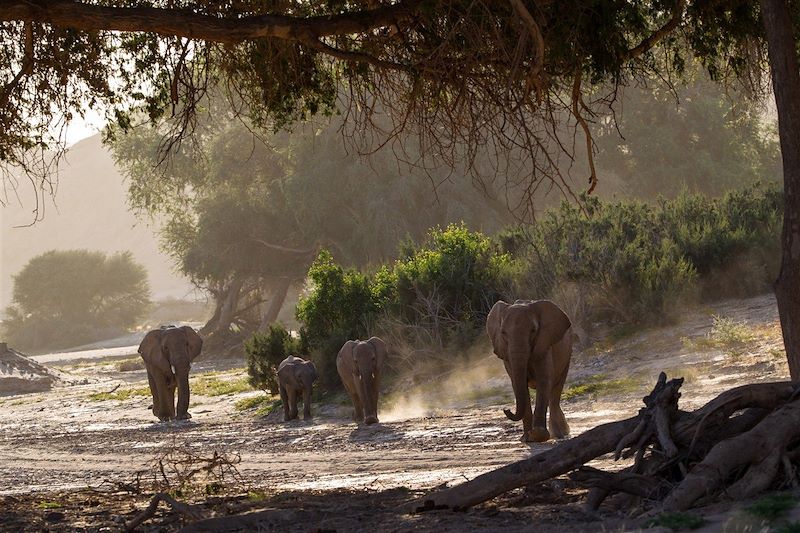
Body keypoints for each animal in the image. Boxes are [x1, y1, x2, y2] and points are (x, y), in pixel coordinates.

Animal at [484, 300, 572, 440]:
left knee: (556, 390)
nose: (506, 409)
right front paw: (527, 438)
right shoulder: (507, 355)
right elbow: (518, 384)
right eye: (503, 333)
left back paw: (560, 434)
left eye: (533, 330)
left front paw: (538, 435)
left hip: (567, 354)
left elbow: (544, 381)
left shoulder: (544, 344)